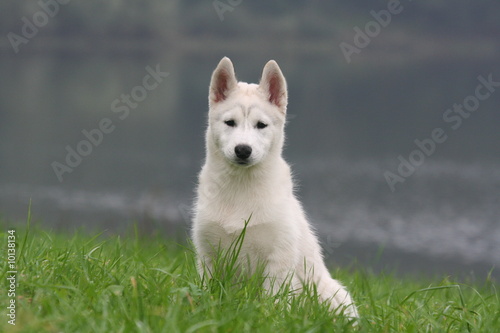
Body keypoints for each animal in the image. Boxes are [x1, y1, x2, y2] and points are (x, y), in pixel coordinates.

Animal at [192, 56, 360, 316]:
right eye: (230, 123)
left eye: (261, 125)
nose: (243, 150)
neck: (241, 187)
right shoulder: (206, 252)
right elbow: (208, 290)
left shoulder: (279, 258)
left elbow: (273, 300)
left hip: (332, 294)